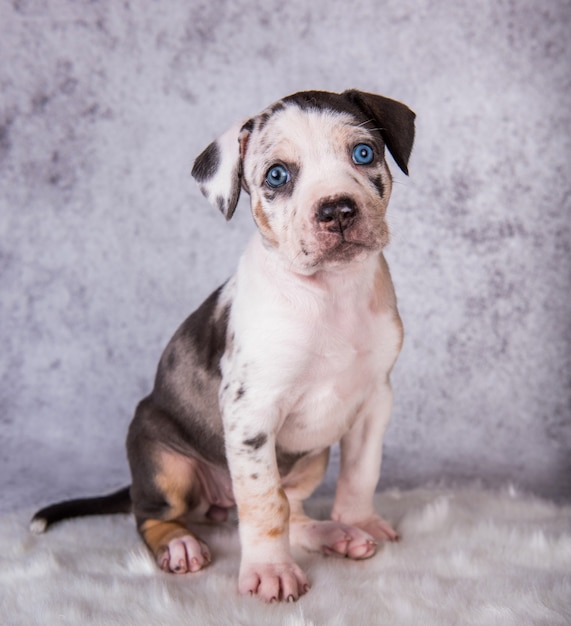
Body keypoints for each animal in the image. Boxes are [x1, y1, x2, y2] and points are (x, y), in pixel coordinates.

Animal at [31, 88, 416, 600]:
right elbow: (265, 503)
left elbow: (360, 473)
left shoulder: (374, 400)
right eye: (277, 175)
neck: (331, 294)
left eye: (364, 153)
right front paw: (271, 571)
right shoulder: (251, 413)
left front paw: (361, 521)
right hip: (163, 459)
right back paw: (179, 544)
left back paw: (334, 534)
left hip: (311, 459)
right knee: (152, 513)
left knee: (293, 507)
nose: (337, 210)